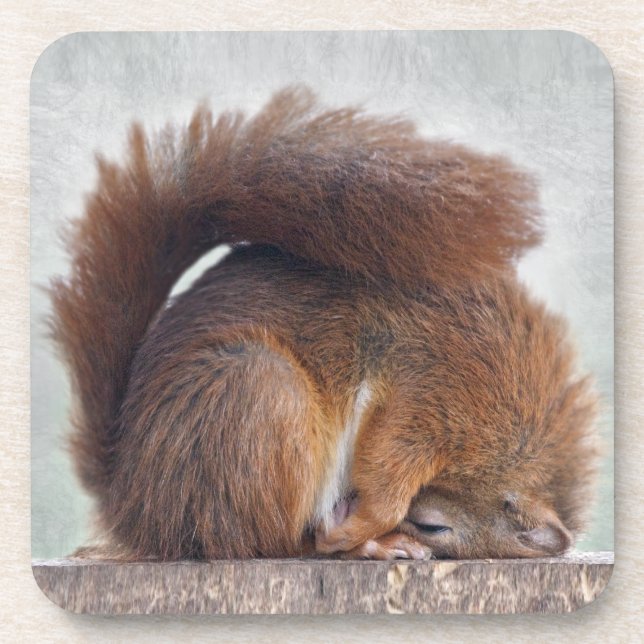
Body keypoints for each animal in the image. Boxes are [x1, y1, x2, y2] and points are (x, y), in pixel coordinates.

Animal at [50, 87, 598, 561]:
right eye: (433, 525)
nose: (415, 526)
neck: (516, 435)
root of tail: (132, 505)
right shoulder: (437, 392)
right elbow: (389, 464)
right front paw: (366, 525)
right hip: (256, 393)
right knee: (272, 544)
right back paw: (363, 543)